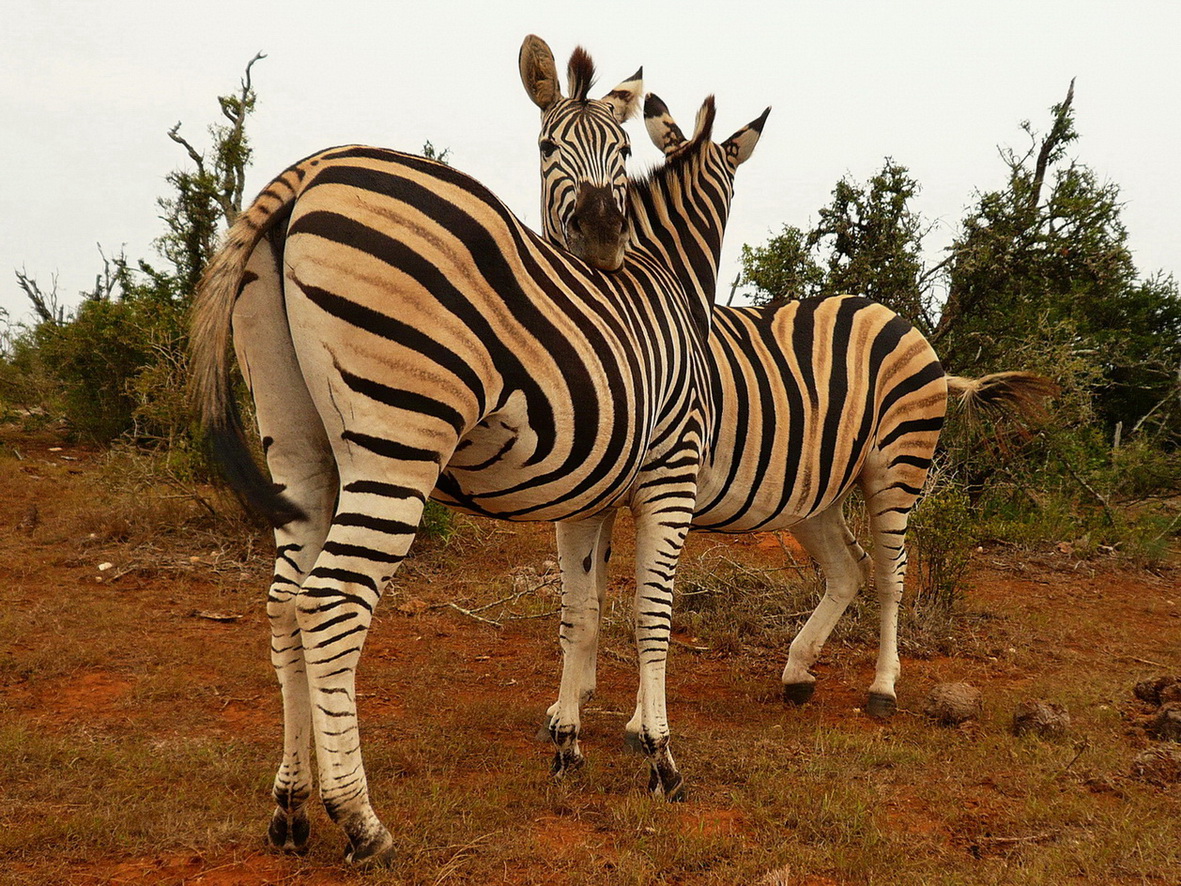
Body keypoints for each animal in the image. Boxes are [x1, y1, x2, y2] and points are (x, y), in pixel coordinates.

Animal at [190, 41, 770, 869]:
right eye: (547, 148)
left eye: (624, 153)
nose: (602, 238)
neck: (663, 282)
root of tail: (310, 169)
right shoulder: (671, 471)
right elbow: (652, 614)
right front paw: (660, 757)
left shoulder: (587, 494)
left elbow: (580, 612)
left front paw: (567, 743)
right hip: (400, 435)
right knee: (329, 602)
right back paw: (361, 822)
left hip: (296, 443)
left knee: (282, 603)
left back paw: (292, 808)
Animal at [533, 90, 1053, 732]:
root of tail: (900, 319)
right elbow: (591, 595)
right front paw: (574, 699)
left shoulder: (663, 481)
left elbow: (642, 599)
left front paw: (631, 719)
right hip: (815, 488)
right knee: (850, 568)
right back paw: (798, 670)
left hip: (896, 467)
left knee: (892, 574)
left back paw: (883, 687)